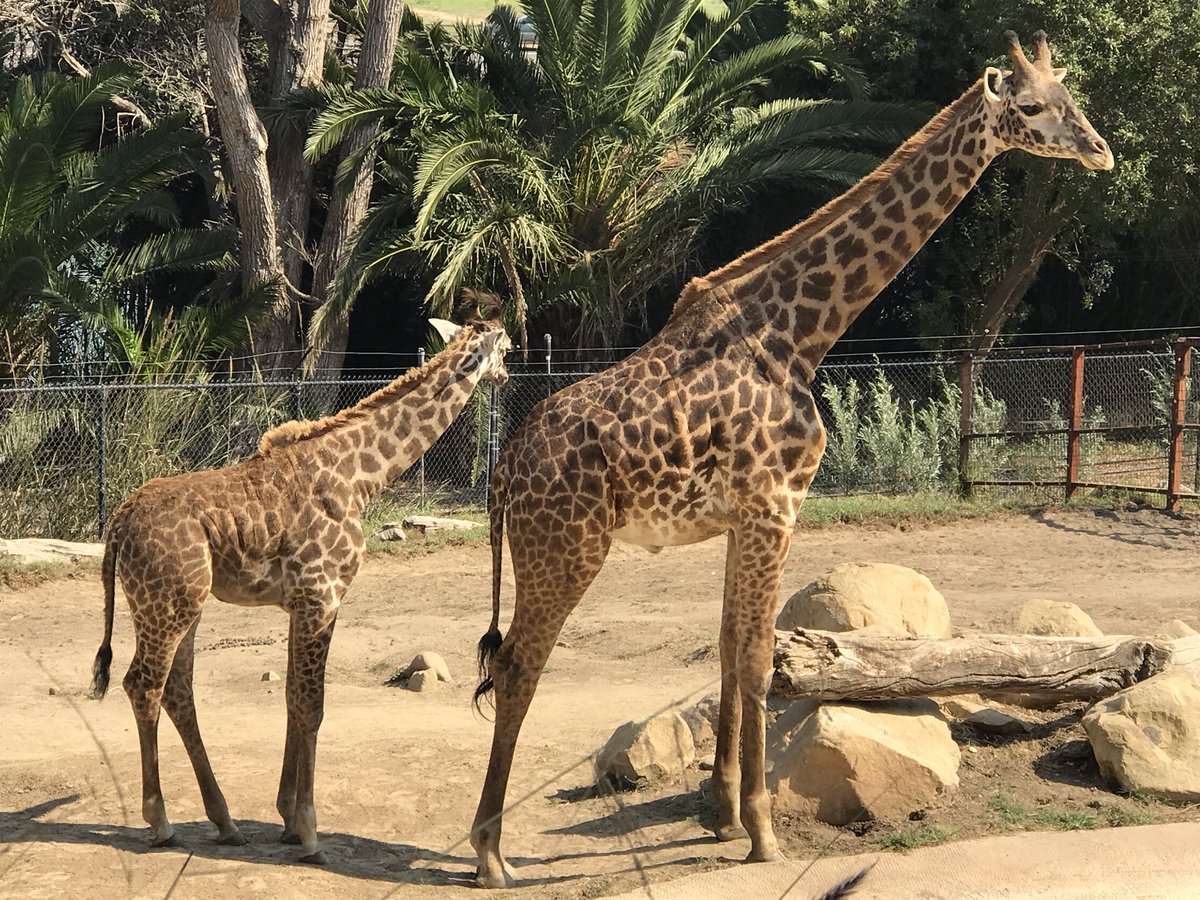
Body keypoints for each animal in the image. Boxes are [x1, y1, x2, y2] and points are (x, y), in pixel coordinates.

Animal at [89, 310, 511, 864]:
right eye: (508, 346)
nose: (508, 374)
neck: (361, 478)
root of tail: (120, 520)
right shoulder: (322, 593)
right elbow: (312, 704)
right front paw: (309, 832)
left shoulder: (300, 602)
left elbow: (292, 697)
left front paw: (287, 818)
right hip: (166, 604)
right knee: (144, 685)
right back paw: (161, 823)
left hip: (182, 606)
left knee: (178, 691)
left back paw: (225, 822)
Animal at [468, 32, 1113, 888]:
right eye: (1034, 106)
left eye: (1074, 99)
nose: (1102, 152)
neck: (800, 333)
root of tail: (504, 471)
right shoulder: (778, 504)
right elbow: (758, 659)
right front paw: (764, 833)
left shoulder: (744, 514)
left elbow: (729, 648)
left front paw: (721, 813)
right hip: (566, 548)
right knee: (517, 666)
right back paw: (489, 854)